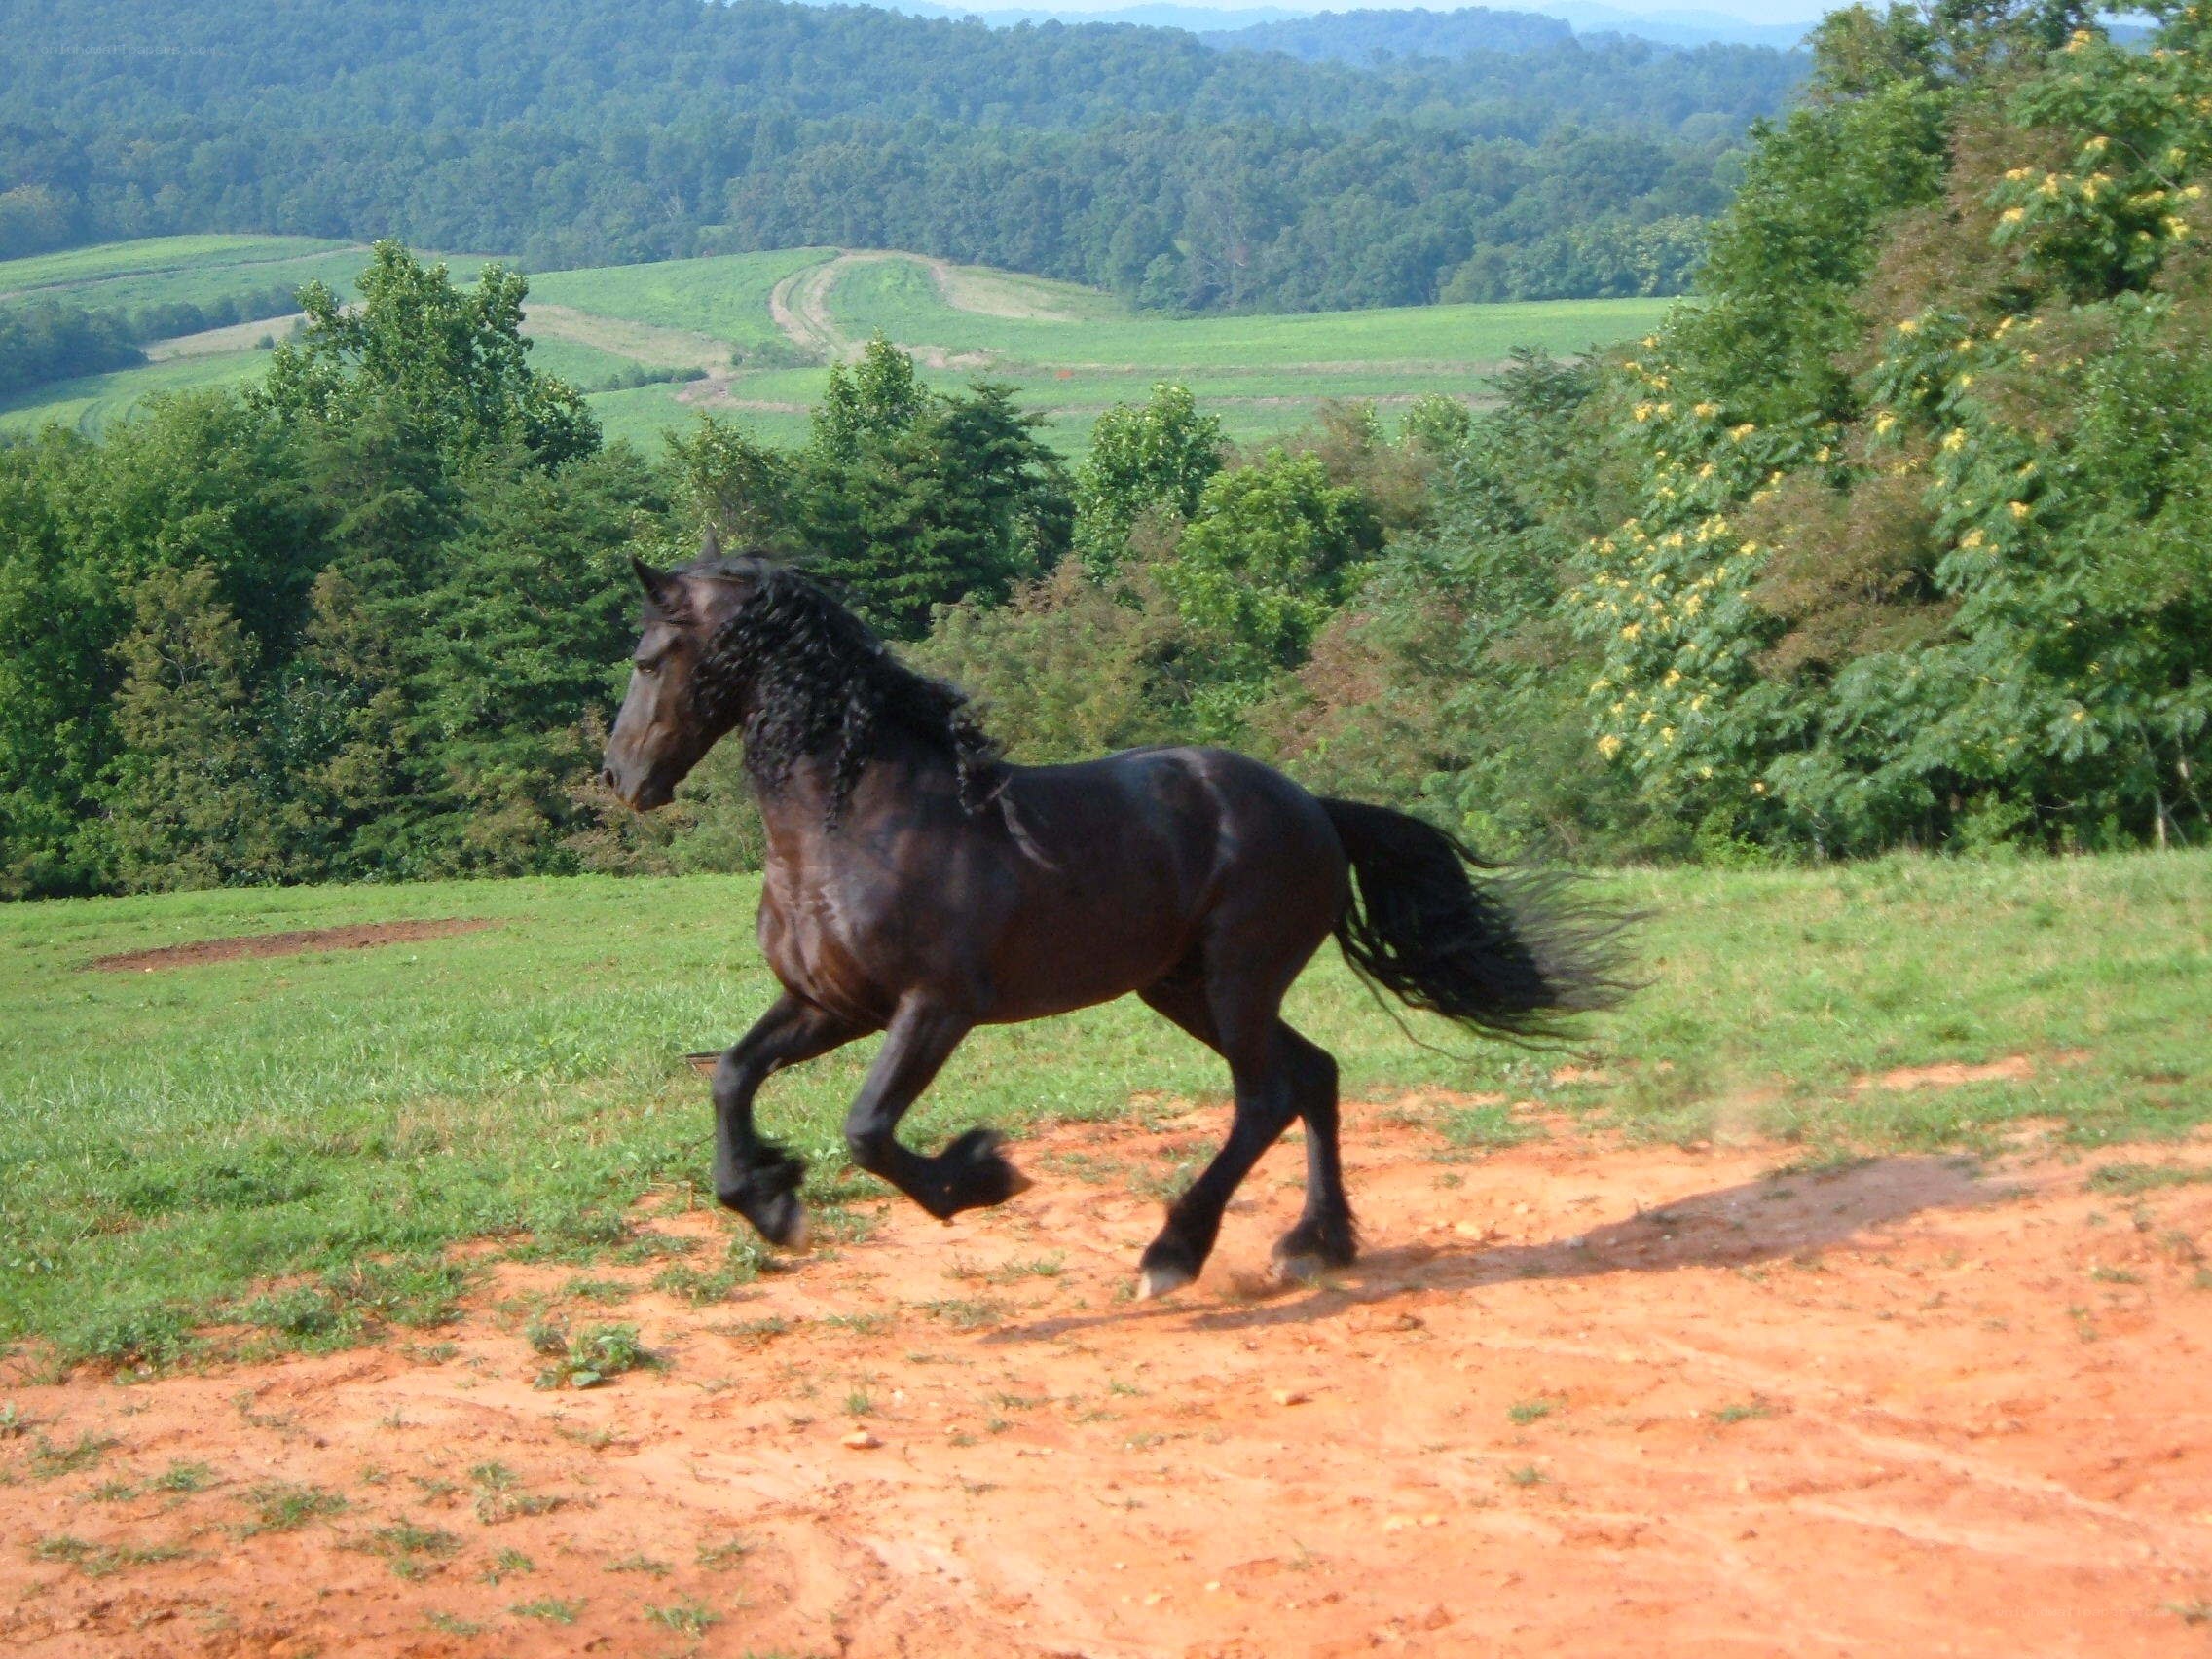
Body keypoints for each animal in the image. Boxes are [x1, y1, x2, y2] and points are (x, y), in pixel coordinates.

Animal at [599, 544, 1629, 1298]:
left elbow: (867, 1130)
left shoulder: (935, 1007)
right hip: (1182, 987)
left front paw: (983, 1177)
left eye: (651, 658)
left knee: (1266, 1098)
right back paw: (1316, 1245)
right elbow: (732, 1077)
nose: (620, 776)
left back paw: (1175, 1253)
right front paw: (769, 1201)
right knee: (1315, 1077)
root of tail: (1314, 807)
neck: (858, 824)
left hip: (1237, 978)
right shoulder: (830, 1004)